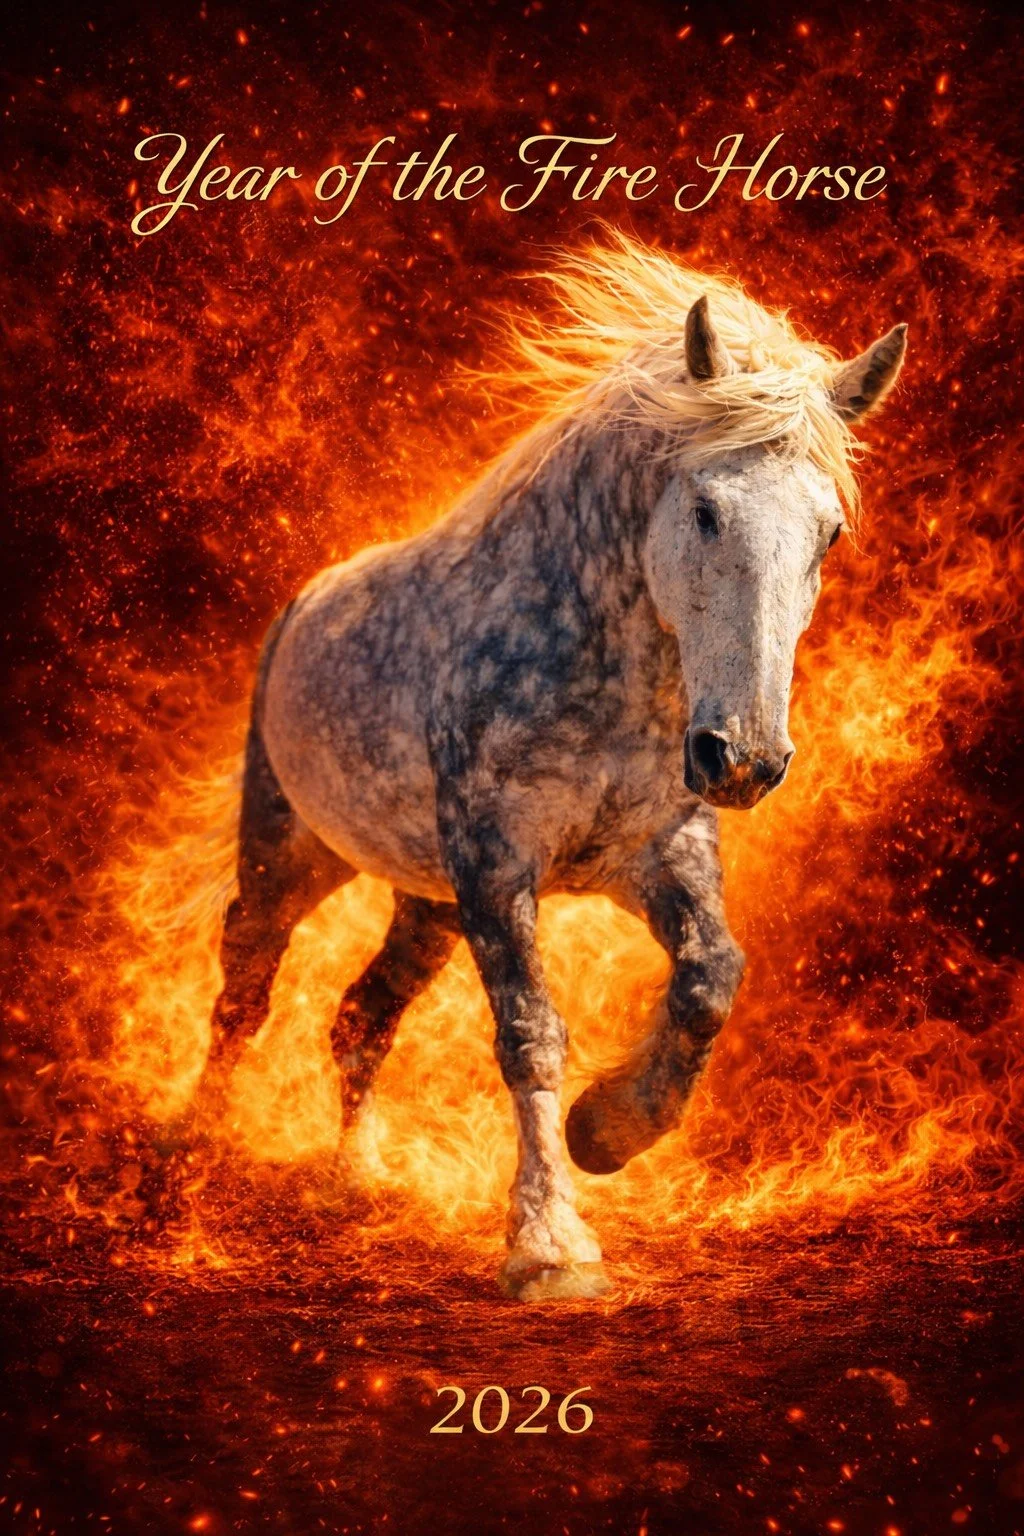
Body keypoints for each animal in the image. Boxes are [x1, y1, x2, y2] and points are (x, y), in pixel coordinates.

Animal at [194, 234, 907, 1299]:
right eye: (706, 510)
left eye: (829, 530)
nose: (743, 759)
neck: (601, 663)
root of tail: (302, 605)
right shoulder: (500, 864)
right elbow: (531, 1033)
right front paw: (549, 1246)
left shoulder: (656, 855)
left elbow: (712, 979)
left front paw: (608, 1132)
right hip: (292, 852)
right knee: (245, 987)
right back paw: (187, 1157)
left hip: (428, 903)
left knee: (360, 1016)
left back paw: (354, 1181)